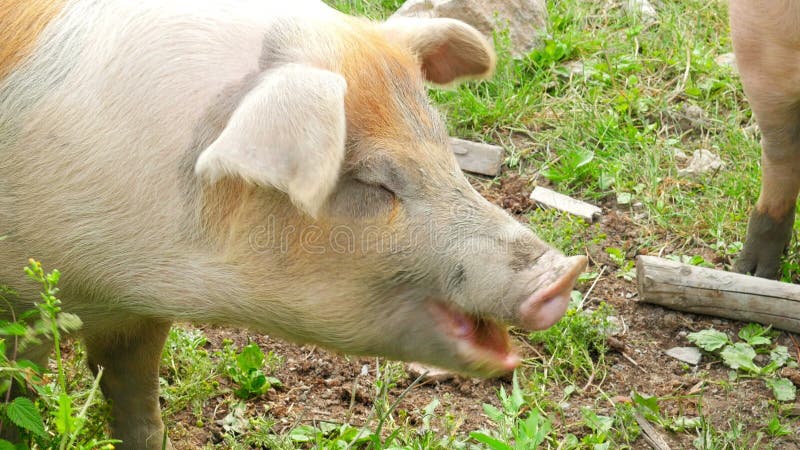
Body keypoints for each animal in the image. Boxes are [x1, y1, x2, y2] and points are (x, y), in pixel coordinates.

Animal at [0, 1, 588, 448]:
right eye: (373, 180)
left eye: (444, 147)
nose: (562, 272)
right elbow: (17, 402)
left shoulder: (136, 315)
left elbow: (135, 400)